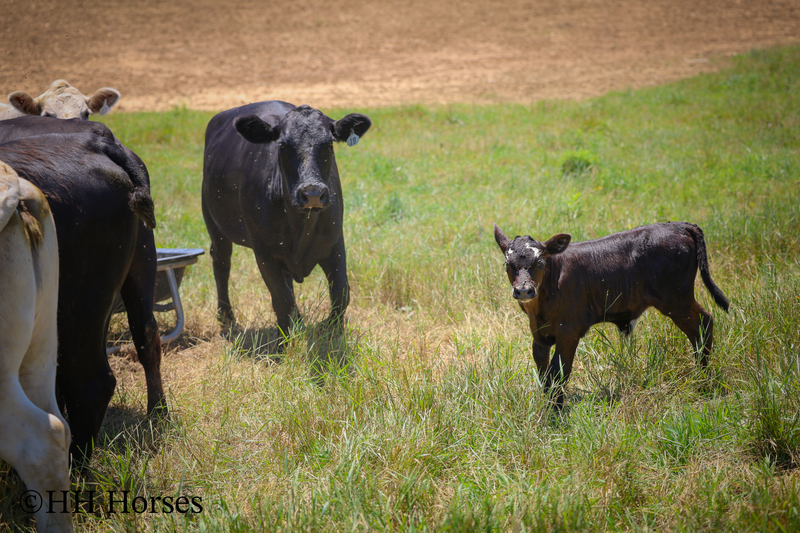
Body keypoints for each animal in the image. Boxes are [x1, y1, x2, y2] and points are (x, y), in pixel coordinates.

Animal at [0, 130, 163, 464]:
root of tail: (95, 140)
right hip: (138, 267)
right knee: (147, 334)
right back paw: (157, 412)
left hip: (76, 308)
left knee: (89, 385)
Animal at [202, 101, 371, 344]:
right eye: (282, 146)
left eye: (329, 145)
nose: (312, 193)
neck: (301, 225)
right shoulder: (264, 253)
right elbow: (280, 299)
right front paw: (284, 343)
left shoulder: (335, 243)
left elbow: (341, 293)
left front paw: (332, 334)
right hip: (214, 222)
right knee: (221, 264)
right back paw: (226, 318)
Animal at [494, 222, 729, 408]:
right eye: (508, 265)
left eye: (540, 263)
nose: (524, 291)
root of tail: (678, 225)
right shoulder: (539, 337)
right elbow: (544, 375)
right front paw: (550, 406)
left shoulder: (569, 332)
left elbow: (559, 372)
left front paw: (557, 412)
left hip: (677, 300)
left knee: (703, 324)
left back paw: (703, 383)